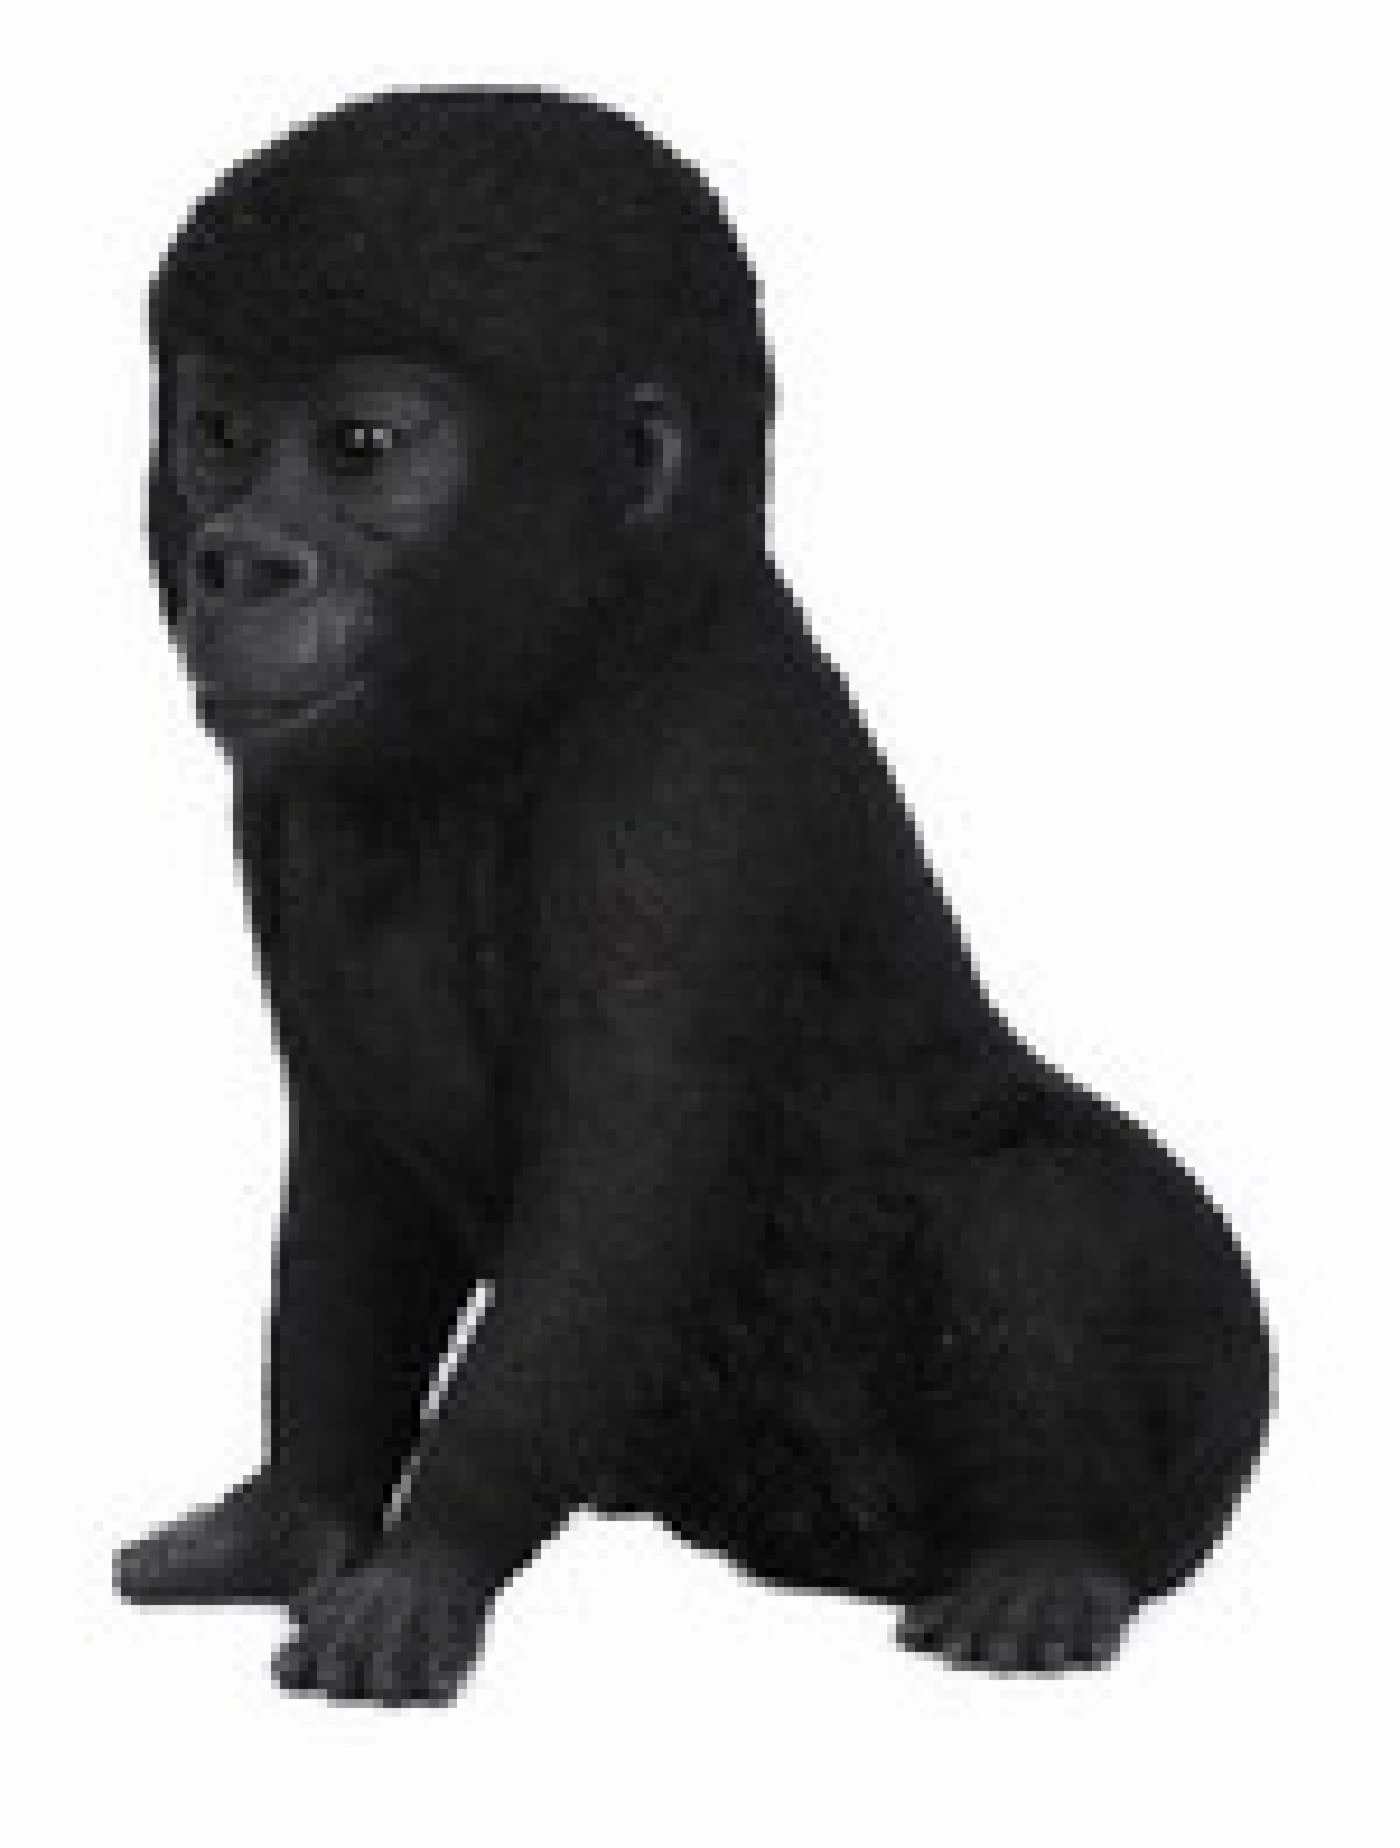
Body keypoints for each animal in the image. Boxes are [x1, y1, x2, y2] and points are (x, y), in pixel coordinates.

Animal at [115, 88, 1272, 1705]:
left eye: (358, 448)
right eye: (218, 436)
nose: (236, 563)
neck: (589, 640)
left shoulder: (680, 785)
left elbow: (621, 1200)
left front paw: (425, 1560)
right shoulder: (277, 800)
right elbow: (351, 1186)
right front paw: (290, 1520)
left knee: (1043, 1207)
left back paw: (1048, 1561)